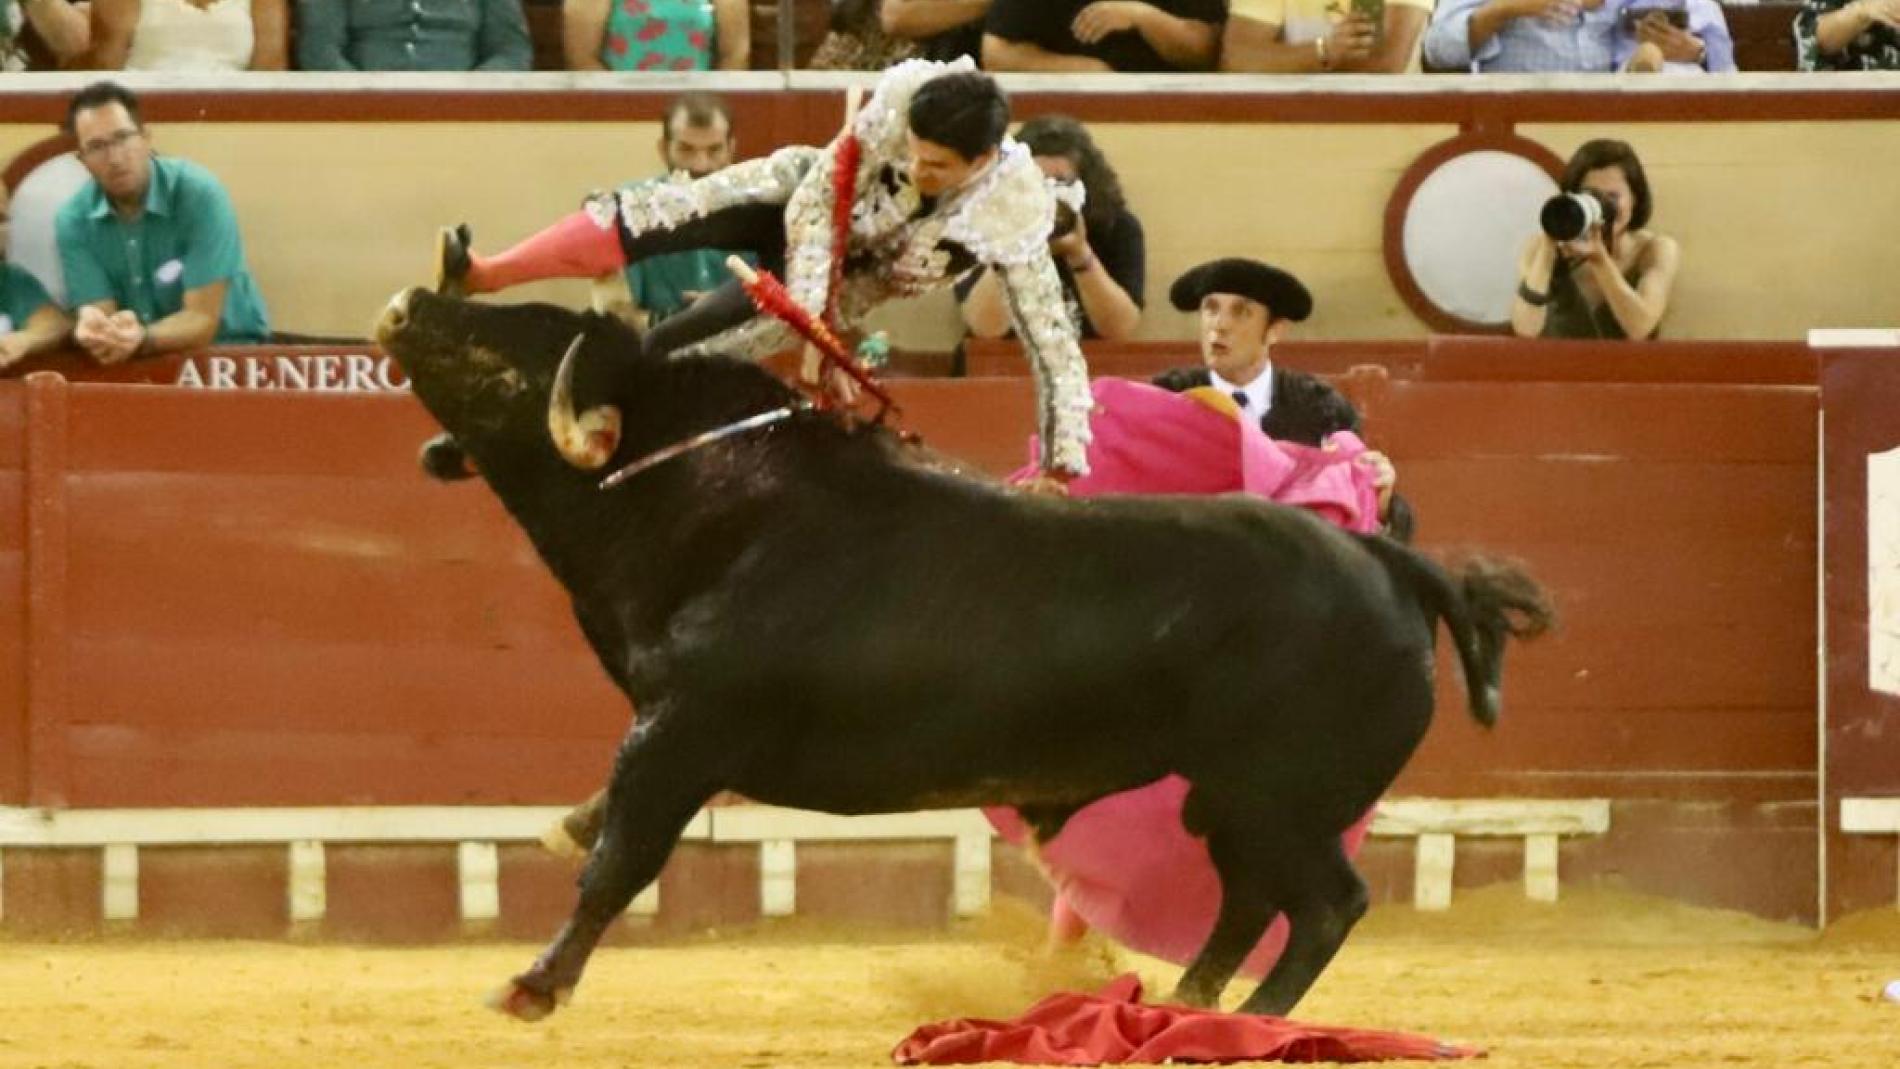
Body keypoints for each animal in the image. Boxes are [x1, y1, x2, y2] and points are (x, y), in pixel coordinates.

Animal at [374, 288, 1558, 1025]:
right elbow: (604, 839)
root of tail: (1392, 563)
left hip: (1284, 794)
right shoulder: (665, 732)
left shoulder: (681, 735)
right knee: (1249, 901)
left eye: (530, 336)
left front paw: (532, 986)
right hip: (1228, 798)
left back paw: (1239, 1024)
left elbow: (617, 861)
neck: (710, 494)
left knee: (1322, 905)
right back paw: (1186, 1010)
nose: (417, 300)